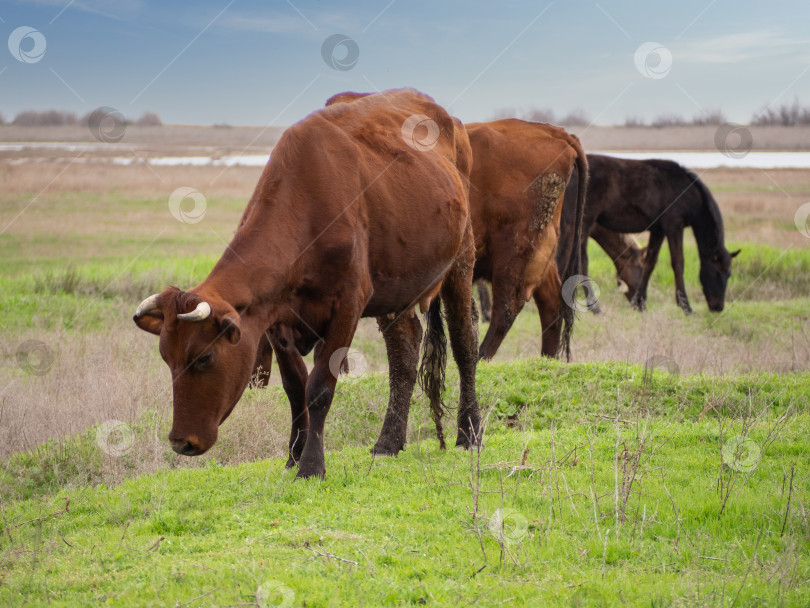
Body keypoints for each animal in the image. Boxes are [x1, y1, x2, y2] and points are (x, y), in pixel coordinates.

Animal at [134, 88, 480, 478]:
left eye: (204, 357)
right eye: (167, 358)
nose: (181, 442)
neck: (307, 203)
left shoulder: (347, 305)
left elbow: (319, 388)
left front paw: (312, 465)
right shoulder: (273, 317)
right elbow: (294, 387)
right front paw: (293, 456)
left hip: (462, 258)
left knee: (464, 343)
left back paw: (469, 432)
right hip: (397, 287)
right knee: (404, 353)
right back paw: (388, 442)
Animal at [464, 117, 584, 360]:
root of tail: (555, 132)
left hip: (511, 252)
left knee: (506, 309)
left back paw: (481, 358)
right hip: (540, 251)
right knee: (552, 302)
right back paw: (547, 359)